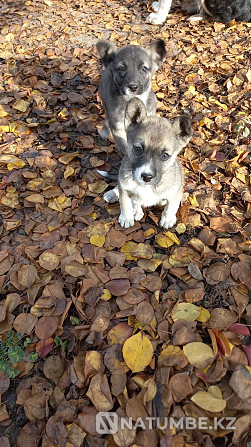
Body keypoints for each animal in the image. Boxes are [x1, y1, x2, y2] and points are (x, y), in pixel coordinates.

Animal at [106, 99, 192, 231]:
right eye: (138, 149)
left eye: (165, 155)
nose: (146, 177)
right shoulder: (125, 188)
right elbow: (125, 204)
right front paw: (126, 218)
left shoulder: (176, 192)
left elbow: (171, 207)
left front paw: (167, 219)